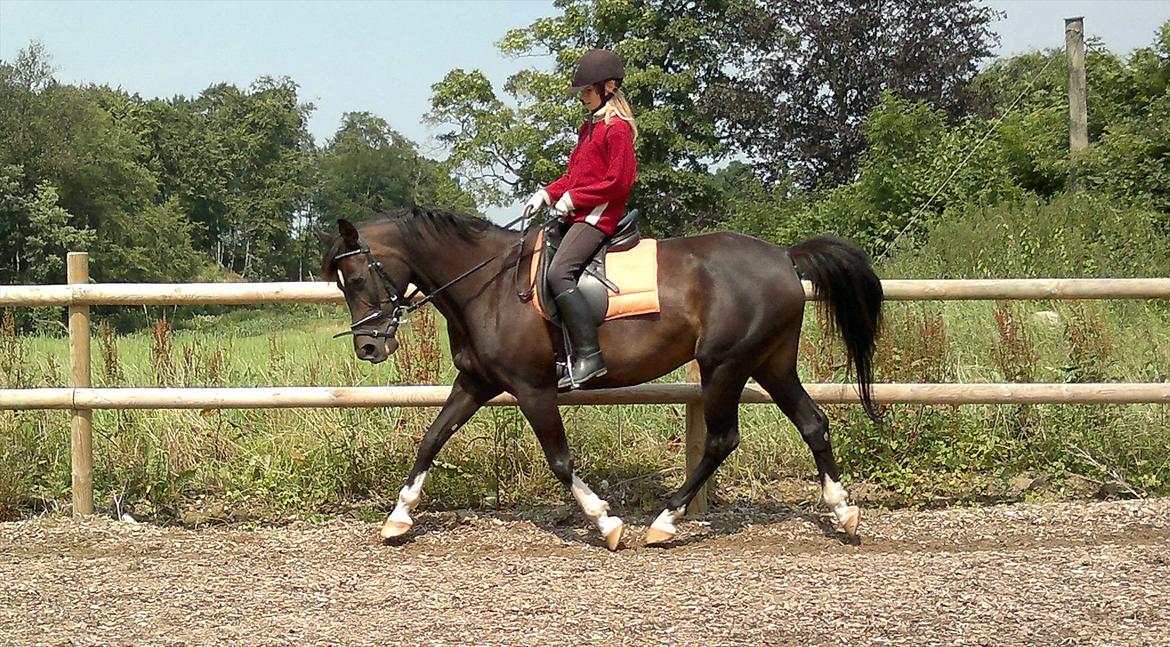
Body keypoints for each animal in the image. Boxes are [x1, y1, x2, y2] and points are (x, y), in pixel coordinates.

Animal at [315, 207, 879, 549]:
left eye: (358, 277)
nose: (369, 347)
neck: (486, 286)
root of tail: (783, 256)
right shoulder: (476, 383)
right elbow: (431, 439)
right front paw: (399, 517)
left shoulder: (532, 389)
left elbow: (560, 461)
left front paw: (605, 521)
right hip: (771, 363)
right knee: (813, 423)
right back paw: (843, 511)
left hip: (725, 366)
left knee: (722, 439)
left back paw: (664, 522)